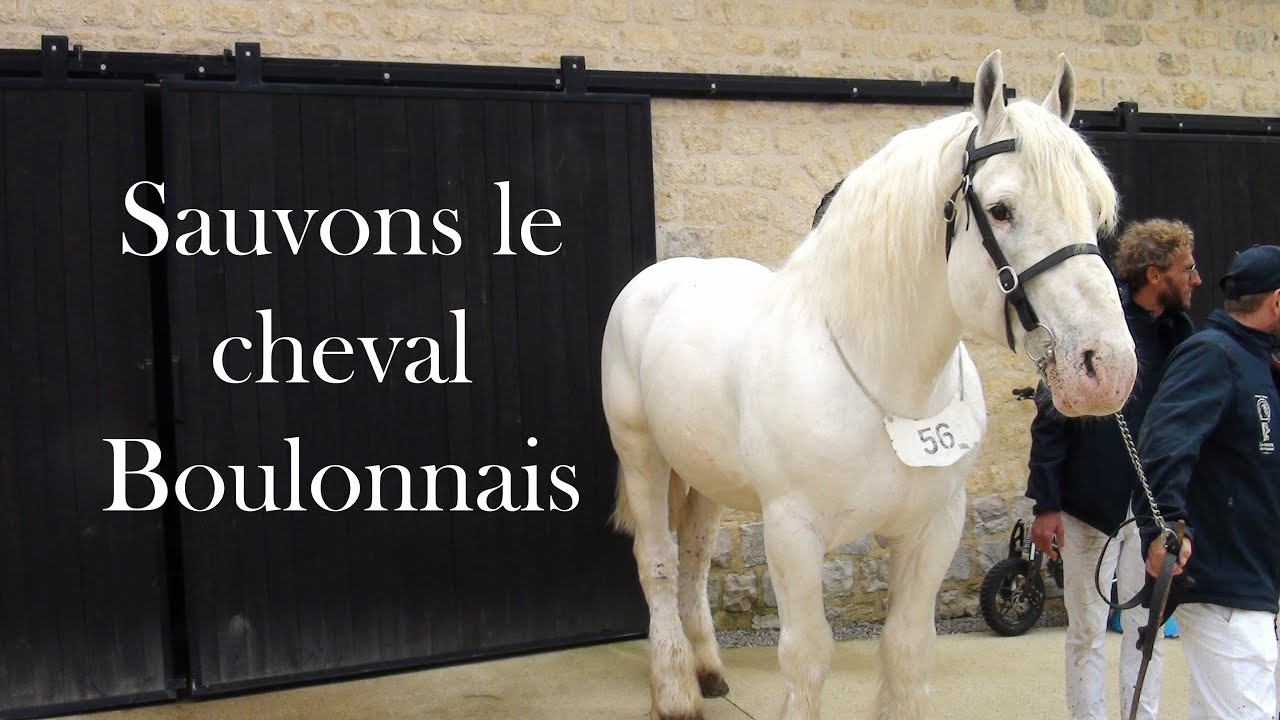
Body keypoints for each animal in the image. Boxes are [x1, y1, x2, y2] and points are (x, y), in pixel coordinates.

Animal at [600, 50, 1137, 720]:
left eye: (1094, 206)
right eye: (1001, 209)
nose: (1105, 369)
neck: (885, 384)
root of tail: (657, 279)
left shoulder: (934, 530)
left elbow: (907, 650)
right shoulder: (792, 533)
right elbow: (806, 656)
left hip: (703, 473)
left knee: (696, 556)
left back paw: (707, 668)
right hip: (643, 455)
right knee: (660, 561)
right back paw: (675, 689)